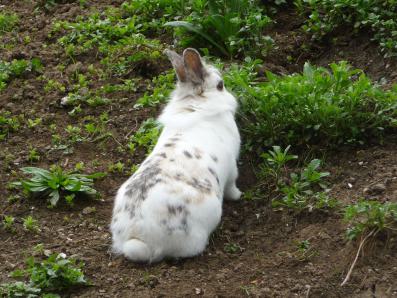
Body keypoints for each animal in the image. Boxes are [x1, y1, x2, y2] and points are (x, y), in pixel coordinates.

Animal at [109, 47, 241, 262]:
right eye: (220, 85)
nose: (232, 96)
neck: (195, 103)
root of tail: (137, 238)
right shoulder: (232, 168)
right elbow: (232, 185)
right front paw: (238, 196)